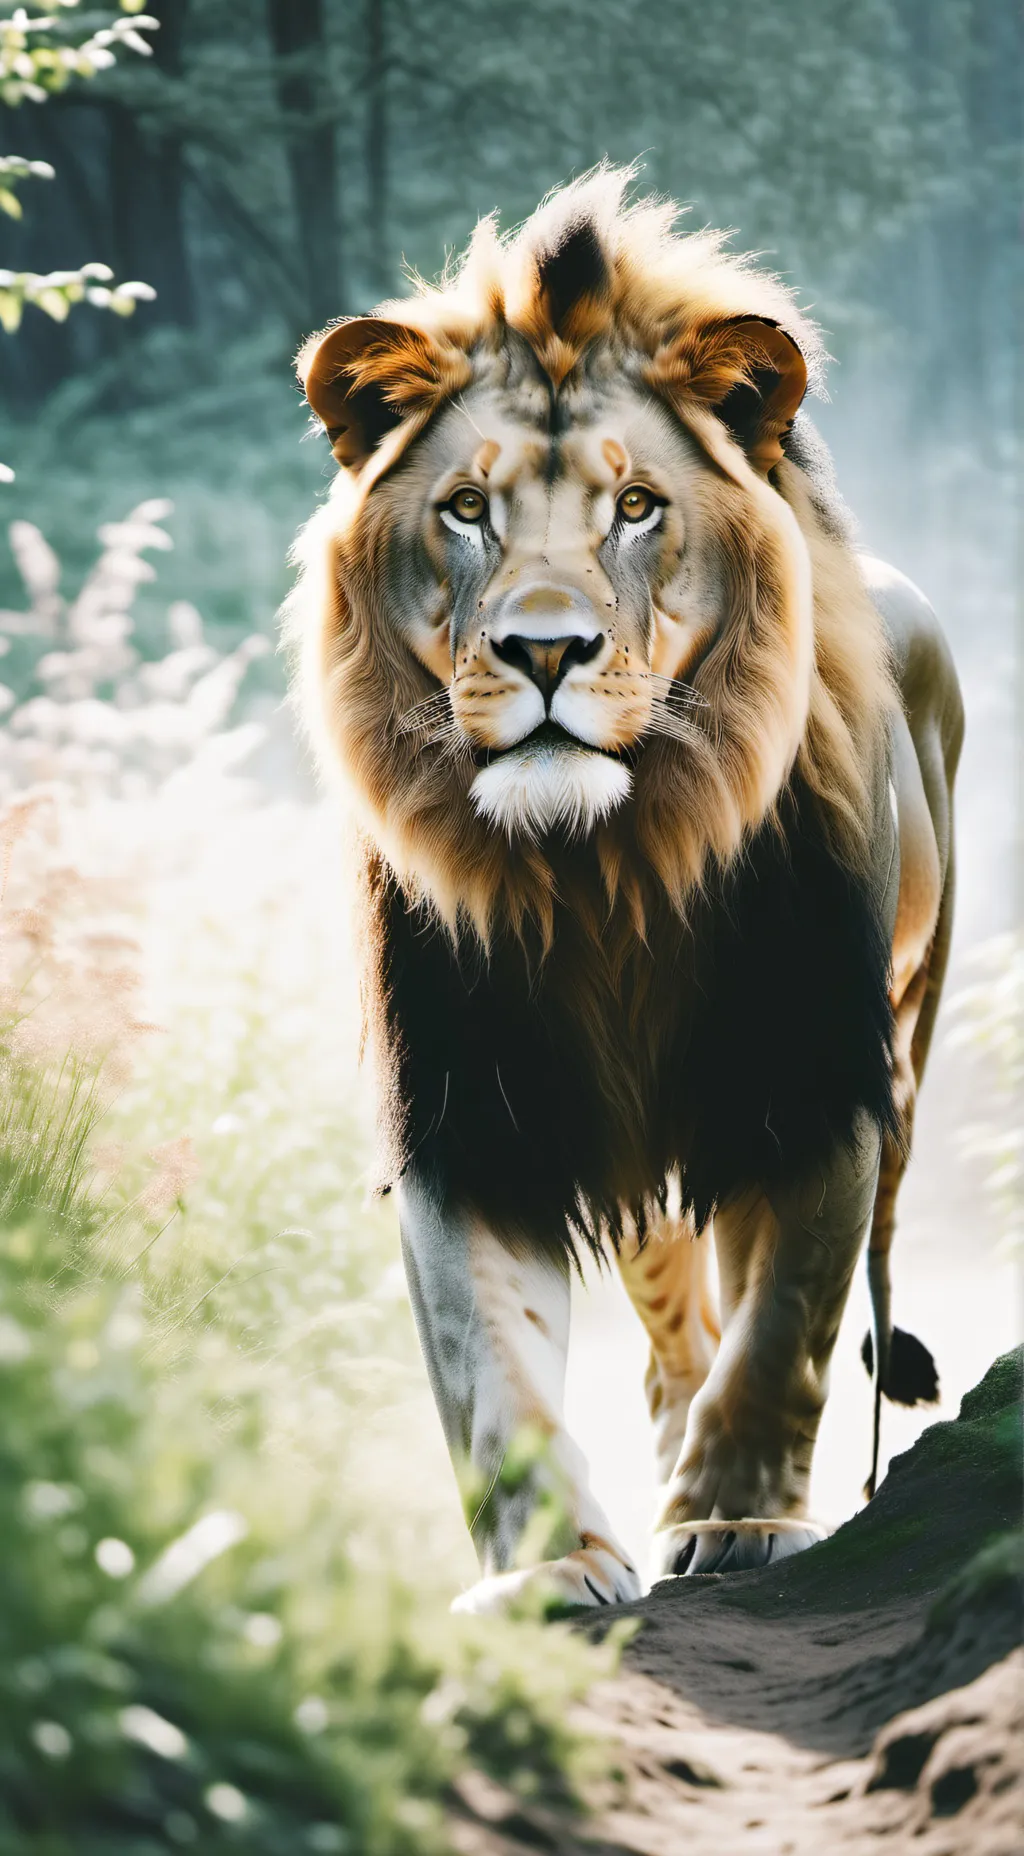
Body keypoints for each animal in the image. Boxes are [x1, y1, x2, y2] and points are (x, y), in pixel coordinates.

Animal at [287, 167, 962, 1614]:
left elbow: (787, 1326)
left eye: (638, 506)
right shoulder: (462, 1101)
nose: (544, 650)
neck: (600, 873)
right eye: (467, 509)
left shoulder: (816, 1078)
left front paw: (740, 1523)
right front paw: (553, 1567)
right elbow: (490, 1370)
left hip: (906, 1025)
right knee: (672, 1314)